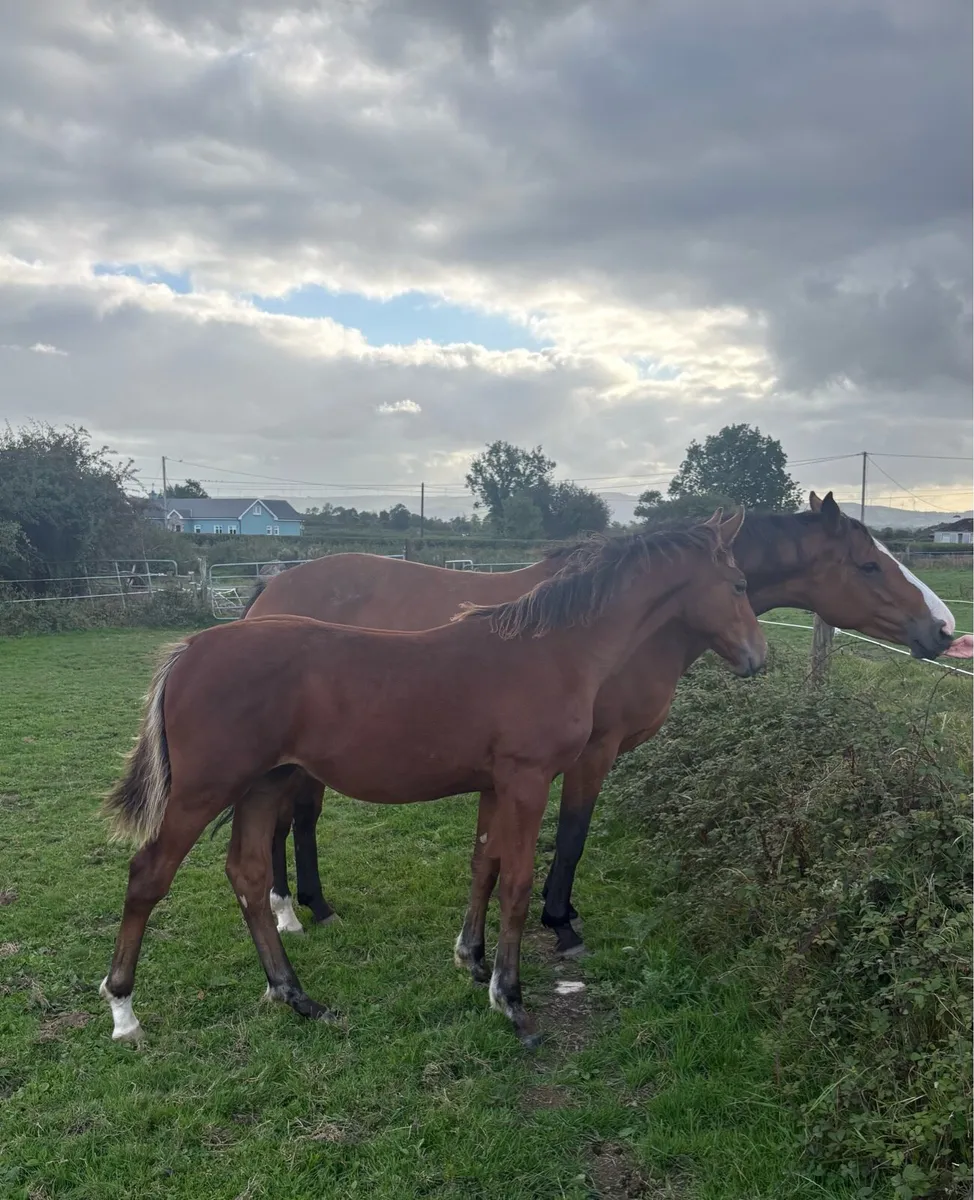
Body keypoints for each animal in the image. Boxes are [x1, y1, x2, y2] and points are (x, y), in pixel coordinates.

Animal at [100, 512, 766, 1046]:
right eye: (739, 585)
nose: (759, 658)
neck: (553, 651)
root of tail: (188, 650)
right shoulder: (528, 780)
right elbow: (517, 884)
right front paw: (512, 1001)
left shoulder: (496, 785)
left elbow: (483, 865)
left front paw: (474, 964)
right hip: (204, 791)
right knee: (148, 876)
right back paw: (124, 1010)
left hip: (265, 784)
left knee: (248, 875)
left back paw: (296, 996)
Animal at [245, 491, 967, 953]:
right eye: (869, 564)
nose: (944, 628)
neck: (626, 623)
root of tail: (269, 591)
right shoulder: (593, 751)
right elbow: (572, 836)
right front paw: (560, 922)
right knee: (285, 821)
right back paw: (287, 912)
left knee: (300, 820)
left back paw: (316, 907)